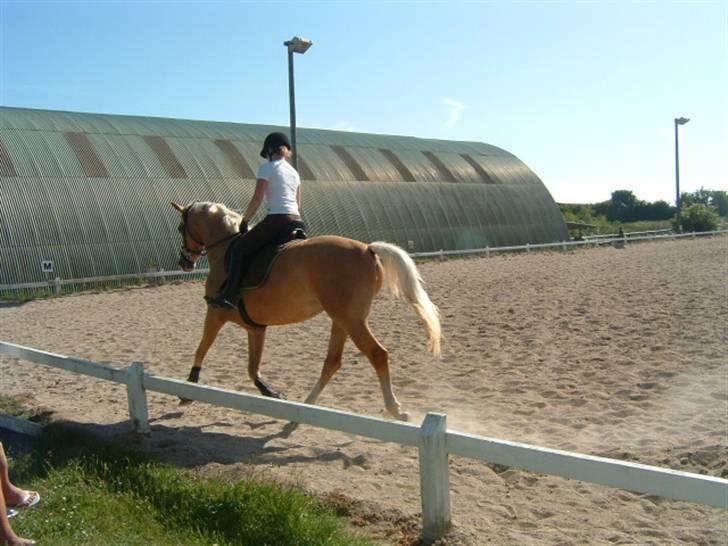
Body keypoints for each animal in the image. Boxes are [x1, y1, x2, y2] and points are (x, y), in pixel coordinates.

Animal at [173, 202, 440, 418]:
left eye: (180, 227)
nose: (184, 262)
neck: (226, 250)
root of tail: (368, 248)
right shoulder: (255, 328)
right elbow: (252, 367)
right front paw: (271, 393)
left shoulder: (215, 314)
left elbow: (202, 349)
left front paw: (189, 387)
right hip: (342, 319)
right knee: (332, 362)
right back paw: (306, 406)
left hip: (351, 320)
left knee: (377, 354)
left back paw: (394, 408)